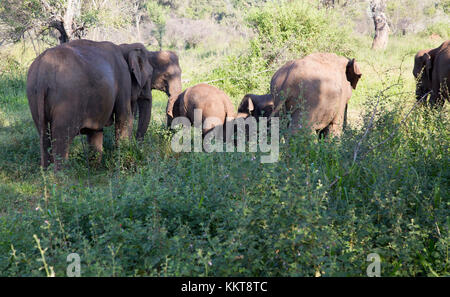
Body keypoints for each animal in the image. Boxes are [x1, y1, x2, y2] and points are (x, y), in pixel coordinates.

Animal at [28, 39, 155, 169]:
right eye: (150, 74)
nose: (138, 146)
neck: (124, 47)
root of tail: (42, 74)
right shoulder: (123, 79)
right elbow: (124, 118)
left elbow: (96, 131)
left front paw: (95, 168)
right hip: (66, 102)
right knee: (61, 138)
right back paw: (63, 173)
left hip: (33, 96)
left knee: (43, 135)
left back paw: (46, 172)